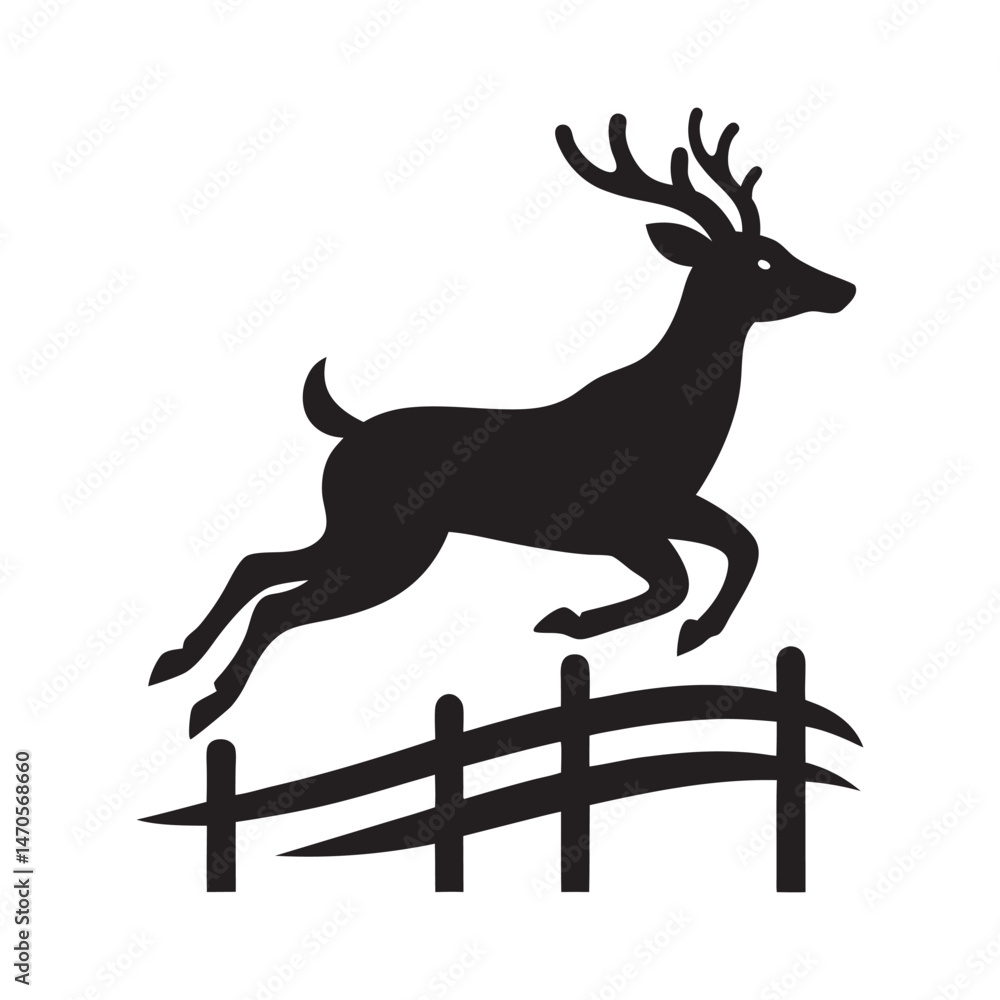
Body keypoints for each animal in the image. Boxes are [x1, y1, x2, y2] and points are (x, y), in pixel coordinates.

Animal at [150, 109, 855, 737]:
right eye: (761, 261)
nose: (843, 288)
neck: (676, 408)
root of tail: (347, 431)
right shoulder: (616, 521)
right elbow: (678, 579)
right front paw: (570, 620)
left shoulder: (672, 506)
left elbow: (743, 544)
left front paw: (692, 633)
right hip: (390, 546)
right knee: (280, 601)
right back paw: (208, 703)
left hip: (360, 531)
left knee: (259, 564)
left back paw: (175, 661)